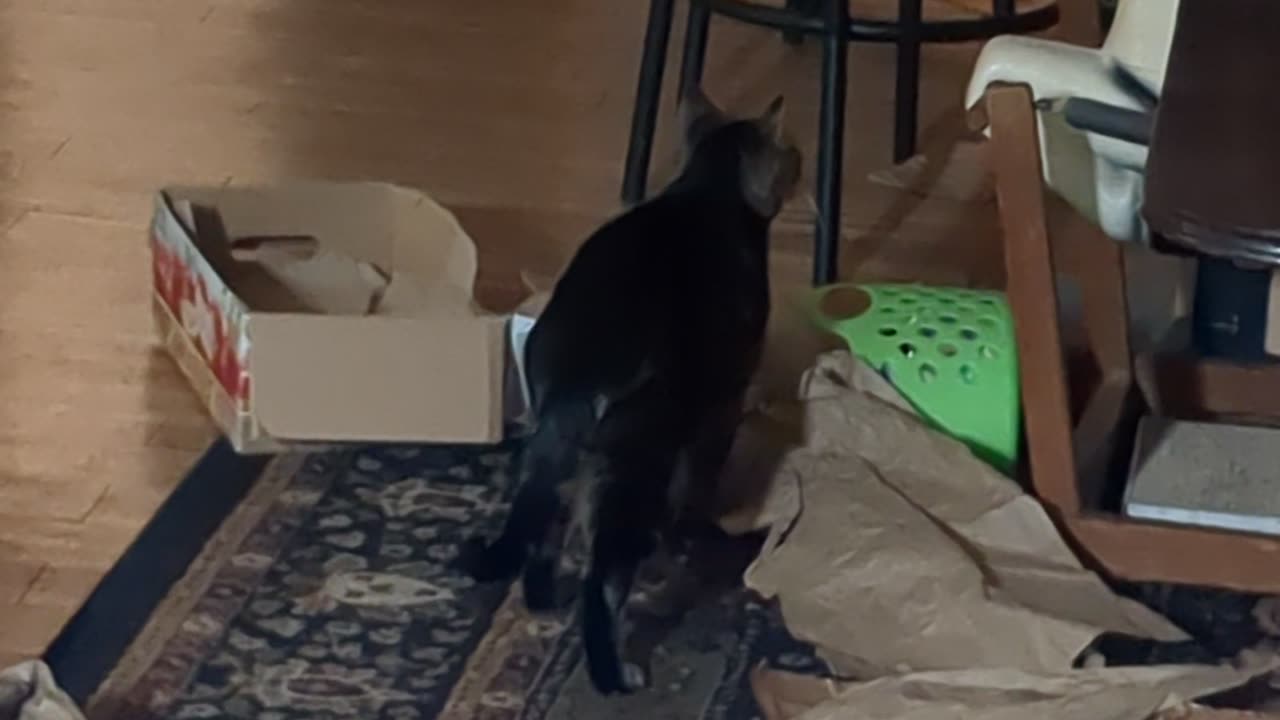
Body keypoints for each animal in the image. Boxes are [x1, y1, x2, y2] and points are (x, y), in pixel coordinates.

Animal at [460, 87, 798, 691]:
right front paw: (694, 529)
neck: (707, 189)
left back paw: (543, 602)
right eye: (790, 156)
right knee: (601, 585)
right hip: (635, 469)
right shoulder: (725, 399)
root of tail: (580, 372)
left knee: (544, 535)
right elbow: (703, 478)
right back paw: (614, 677)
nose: (799, 169)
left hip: (560, 454)